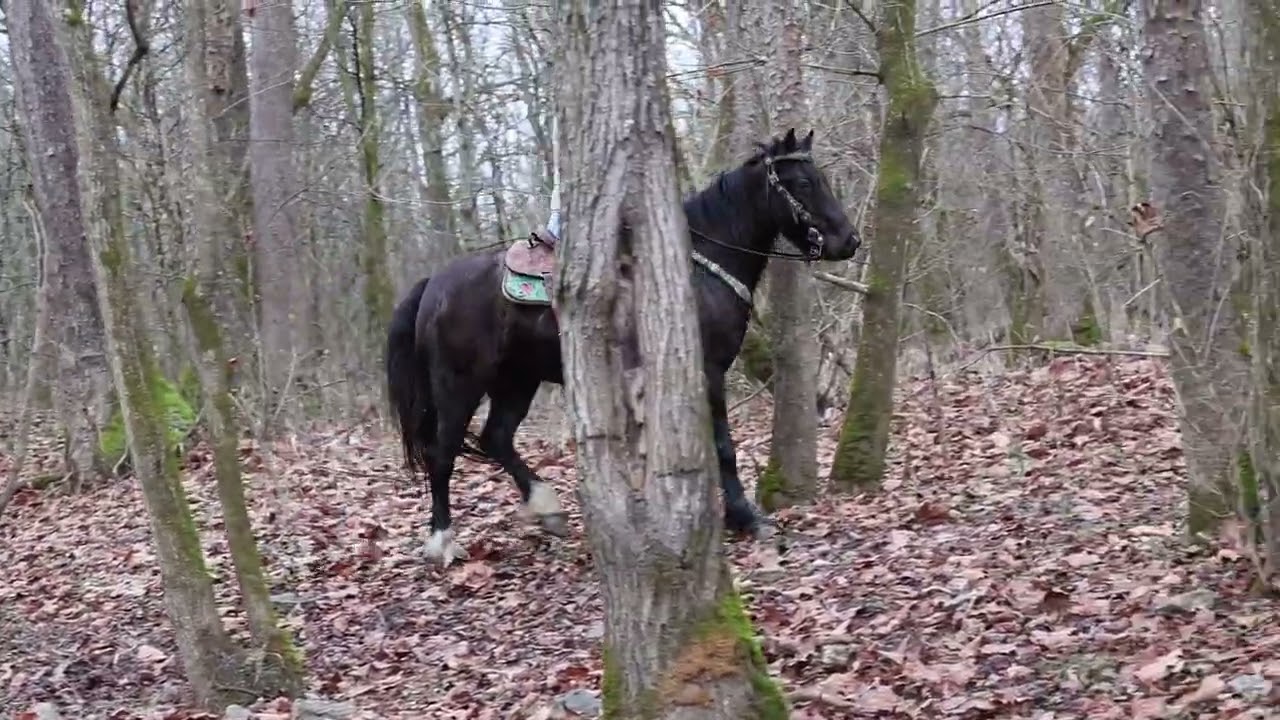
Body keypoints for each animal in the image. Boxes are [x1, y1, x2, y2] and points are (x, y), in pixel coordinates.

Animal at [386, 128, 862, 565]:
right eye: (803, 183)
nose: (850, 241)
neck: (698, 265)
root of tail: (434, 283)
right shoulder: (707, 371)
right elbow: (724, 446)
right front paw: (746, 517)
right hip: (460, 383)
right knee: (443, 452)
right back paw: (443, 541)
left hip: (517, 380)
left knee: (496, 438)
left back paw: (546, 508)